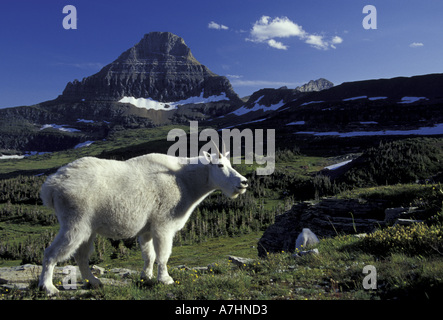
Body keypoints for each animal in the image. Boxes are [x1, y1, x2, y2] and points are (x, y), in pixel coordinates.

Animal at [38, 145, 248, 296]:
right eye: (220, 165)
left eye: (230, 164)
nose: (243, 183)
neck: (185, 181)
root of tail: (51, 187)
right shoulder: (164, 225)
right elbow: (163, 255)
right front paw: (165, 279)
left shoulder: (147, 229)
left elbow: (149, 255)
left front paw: (146, 276)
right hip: (75, 222)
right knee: (51, 252)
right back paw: (48, 288)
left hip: (88, 228)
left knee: (81, 255)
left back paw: (94, 282)